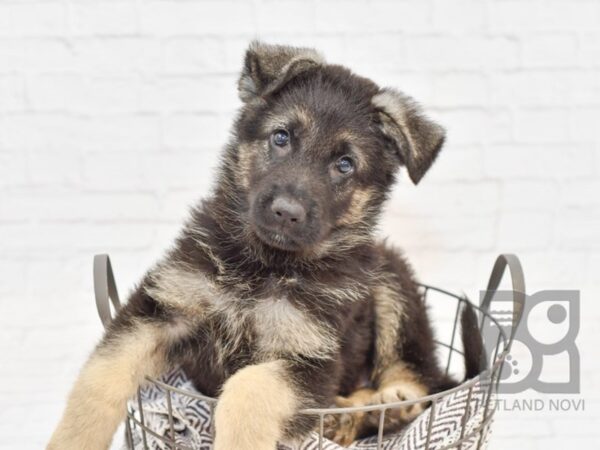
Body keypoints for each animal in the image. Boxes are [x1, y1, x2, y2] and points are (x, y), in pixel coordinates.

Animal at [47, 43, 482, 450]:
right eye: (281, 137)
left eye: (345, 164)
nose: (287, 212)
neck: (263, 266)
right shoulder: (162, 309)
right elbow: (101, 376)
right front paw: (70, 439)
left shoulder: (310, 361)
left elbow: (248, 388)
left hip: (392, 280)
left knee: (417, 378)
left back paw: (380, 406)